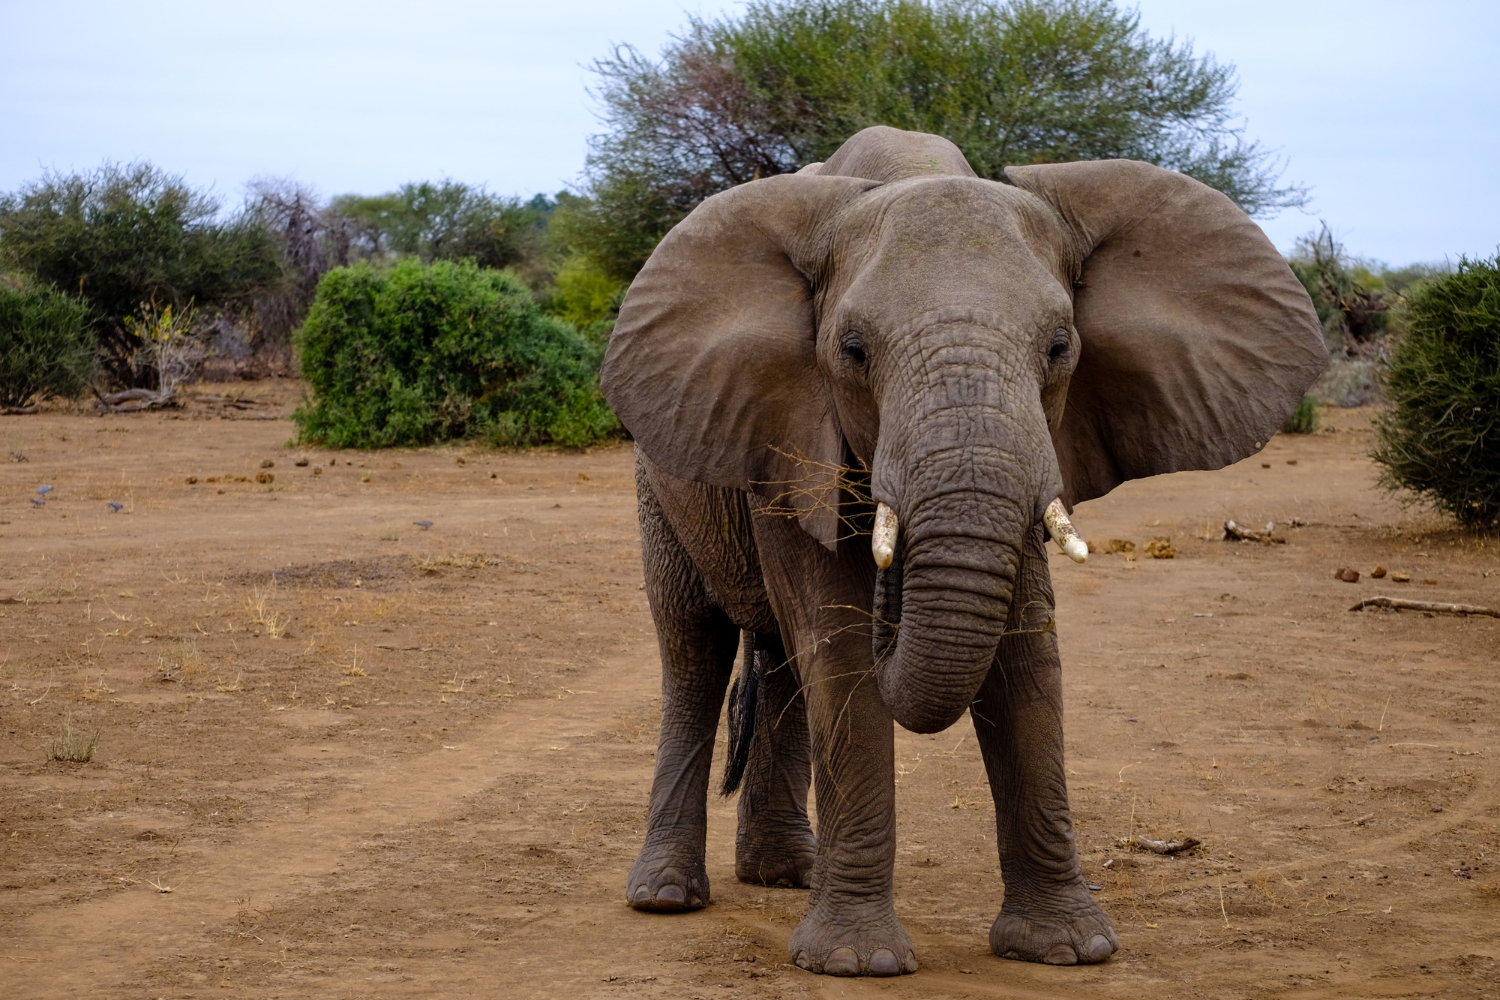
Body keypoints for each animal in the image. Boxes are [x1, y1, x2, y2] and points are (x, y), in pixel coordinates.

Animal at [597, 125, 1326, 977]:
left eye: (1060, 346)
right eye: (851, 350)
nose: (894, 577)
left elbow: (1024, 653)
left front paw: (1068, 949)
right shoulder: (788, 431)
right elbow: (838, 641)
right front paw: (856, 964)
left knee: (778, 662)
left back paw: (787, 874)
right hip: (661, 473)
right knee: (696, 649)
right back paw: (665, 896)